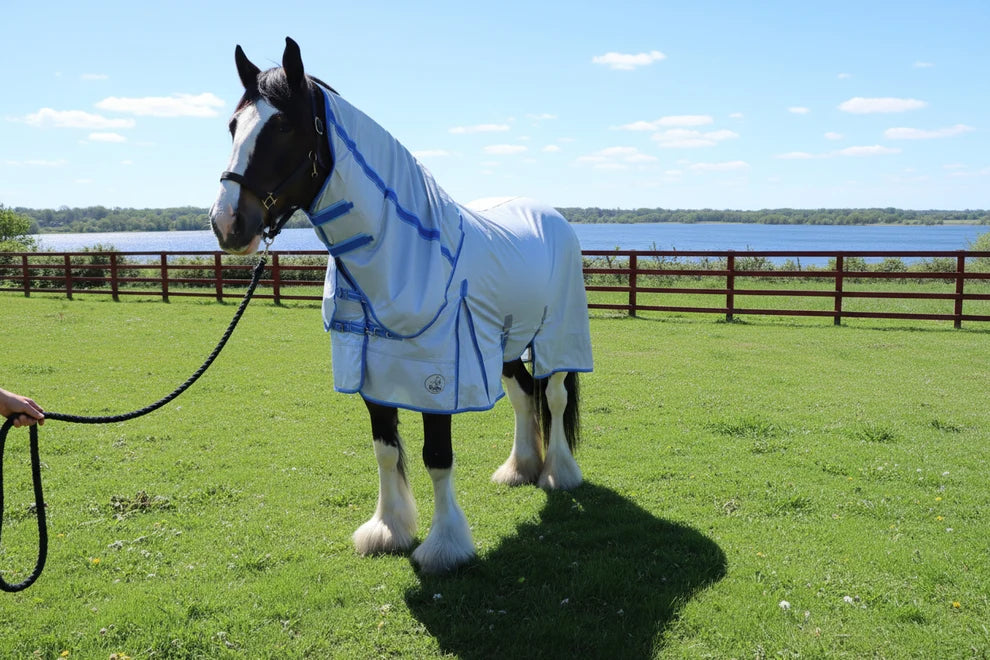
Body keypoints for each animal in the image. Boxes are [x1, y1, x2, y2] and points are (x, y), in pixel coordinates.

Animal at [209, 37, 593, 574]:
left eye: (282, 125)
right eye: (232, 126)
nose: (227, 224)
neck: (400, 260)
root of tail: (551, 215)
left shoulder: (439, 379)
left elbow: (437, 457)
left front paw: (445, 545)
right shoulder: (372, 378)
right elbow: (386, 451)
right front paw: (388, 529)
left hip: (557, 336)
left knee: (553, 396)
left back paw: (558, 473)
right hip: (505, 340)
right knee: (521, 396)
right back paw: (520, 468)